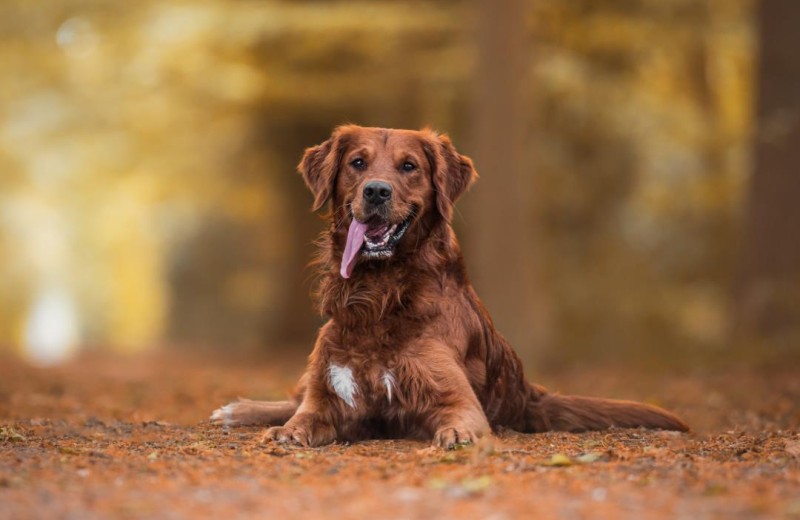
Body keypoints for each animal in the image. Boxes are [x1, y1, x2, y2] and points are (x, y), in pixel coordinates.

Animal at [211, 125, 688, 446]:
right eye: (357, 163)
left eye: (409, 167)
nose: (376, 191)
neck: (380, 294)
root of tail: (530, 395)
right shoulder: (330, 391)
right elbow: (302, 416)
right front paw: (283, 430)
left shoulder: (454, 397)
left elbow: (460, 419)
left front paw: (457, 436)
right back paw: (237, 410)